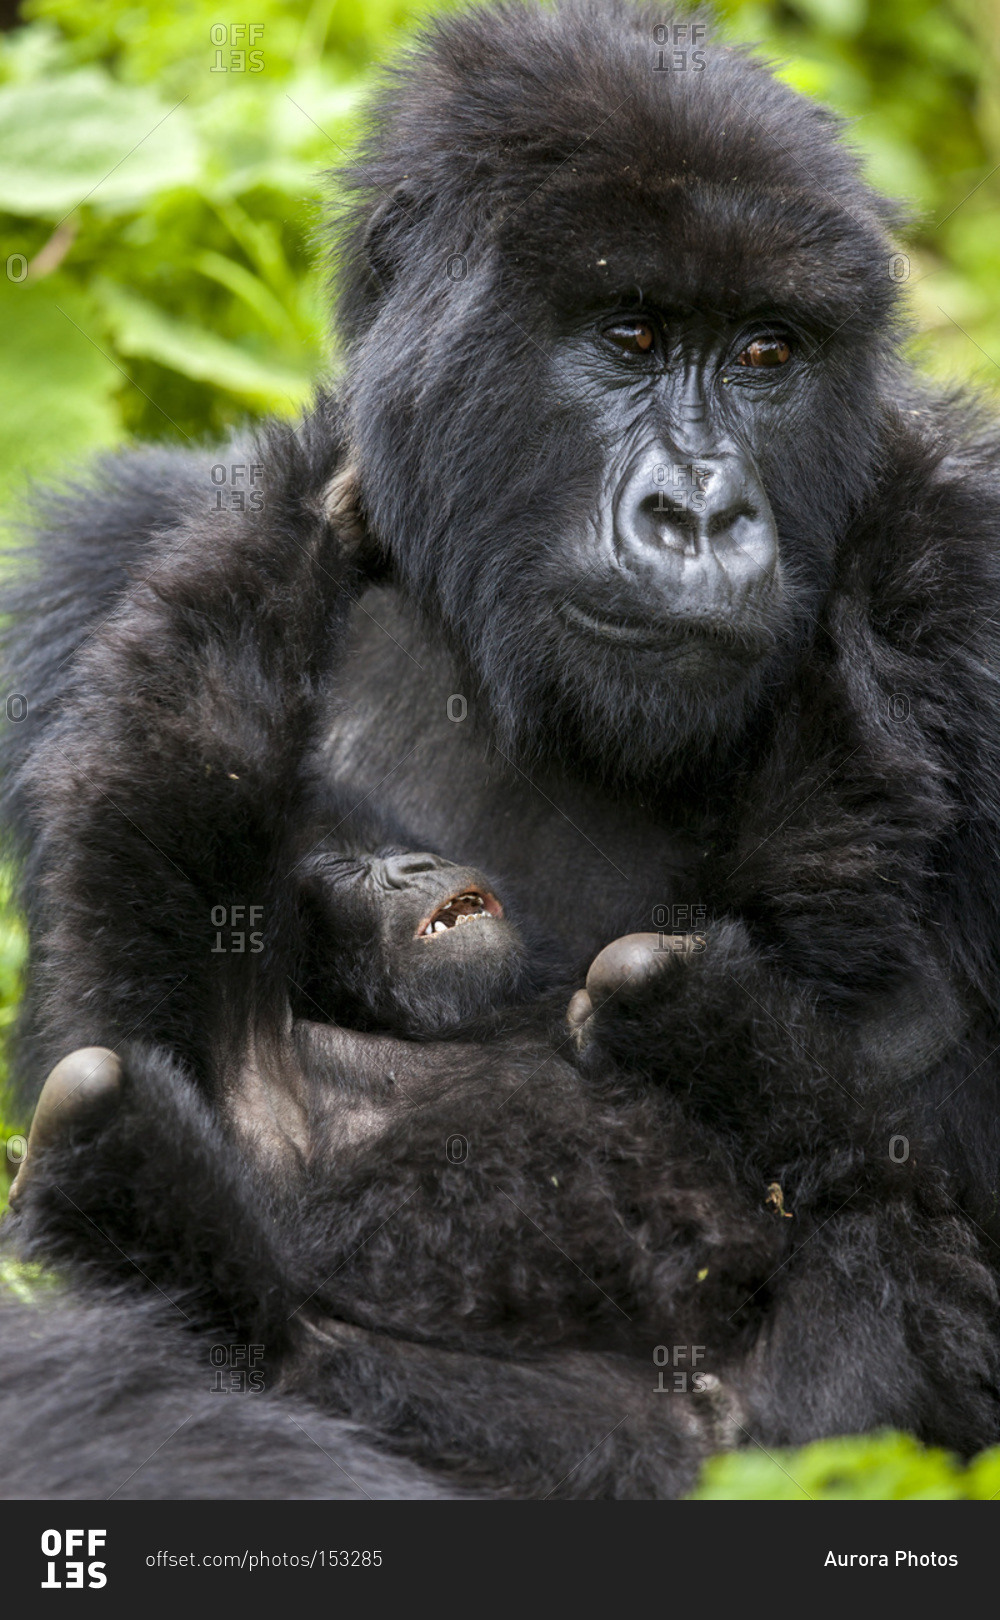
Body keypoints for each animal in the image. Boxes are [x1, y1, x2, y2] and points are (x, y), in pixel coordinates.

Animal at [1, 0, 998, 1490]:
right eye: (629, 334)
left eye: (767, 355)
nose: (701, 517)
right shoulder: (91, 576)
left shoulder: (978, 579)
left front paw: (712, 1019)